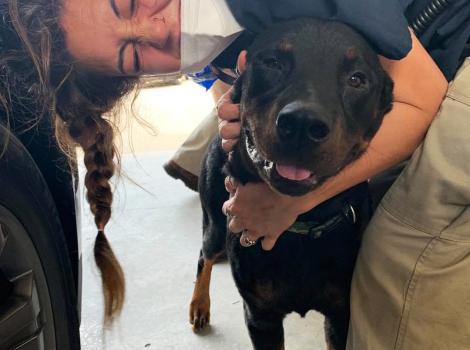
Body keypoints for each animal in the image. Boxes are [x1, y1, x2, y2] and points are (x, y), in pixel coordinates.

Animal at [189, 18, 392, 350]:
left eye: (358, 79)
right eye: (272, 62)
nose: (302, 124)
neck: (301, 228)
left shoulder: (341, 314)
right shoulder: (260, 316)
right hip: (216, 222)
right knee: (204, 254)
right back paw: (199, 305)